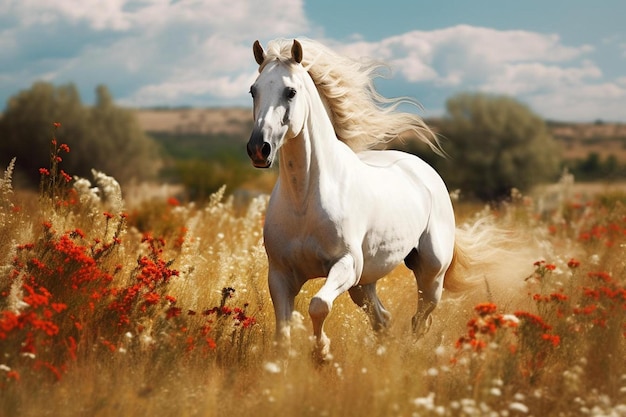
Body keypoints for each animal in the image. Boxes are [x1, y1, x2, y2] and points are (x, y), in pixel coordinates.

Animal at [246, 39, 470, 360]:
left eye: (290, 91)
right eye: (254, 90)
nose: (258, 149)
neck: (304, 200)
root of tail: (424, 171)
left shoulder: (347, 264)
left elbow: (318, 305)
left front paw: (322, 354)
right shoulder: (280, 275)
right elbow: (283, 332)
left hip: (429, 272)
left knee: (420, 319)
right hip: (365, 284)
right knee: (383, 320)